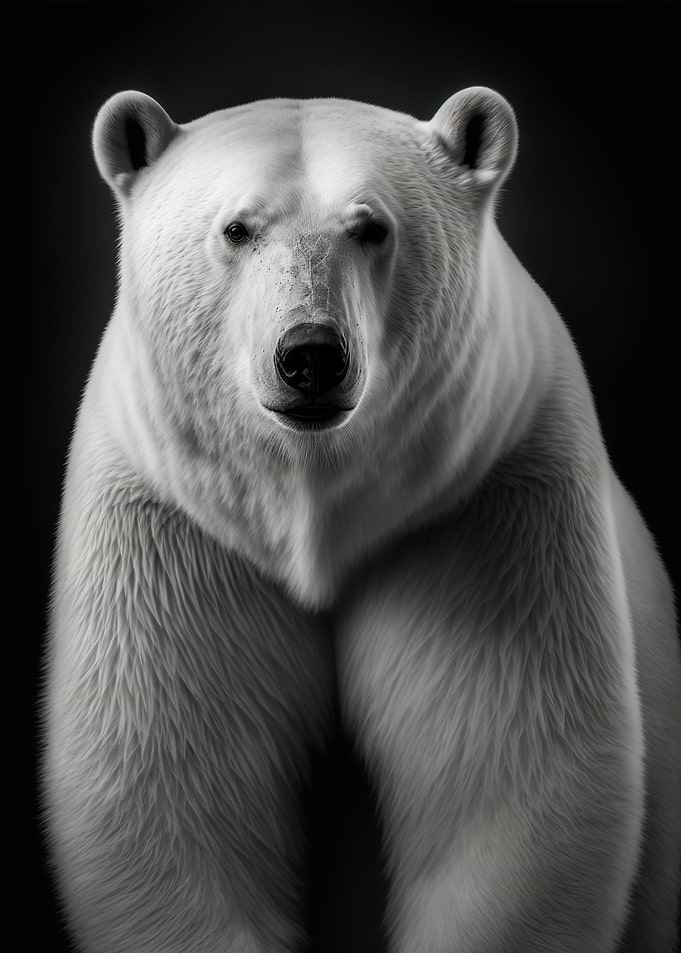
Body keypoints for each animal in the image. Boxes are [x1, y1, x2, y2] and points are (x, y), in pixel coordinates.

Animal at [42, 86, 681, 953]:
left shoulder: (484, 510)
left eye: (370, 226)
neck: (313, 513)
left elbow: (508, 776)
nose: (310, 355)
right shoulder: (171, 524)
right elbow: (163, 783)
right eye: (237, 228)